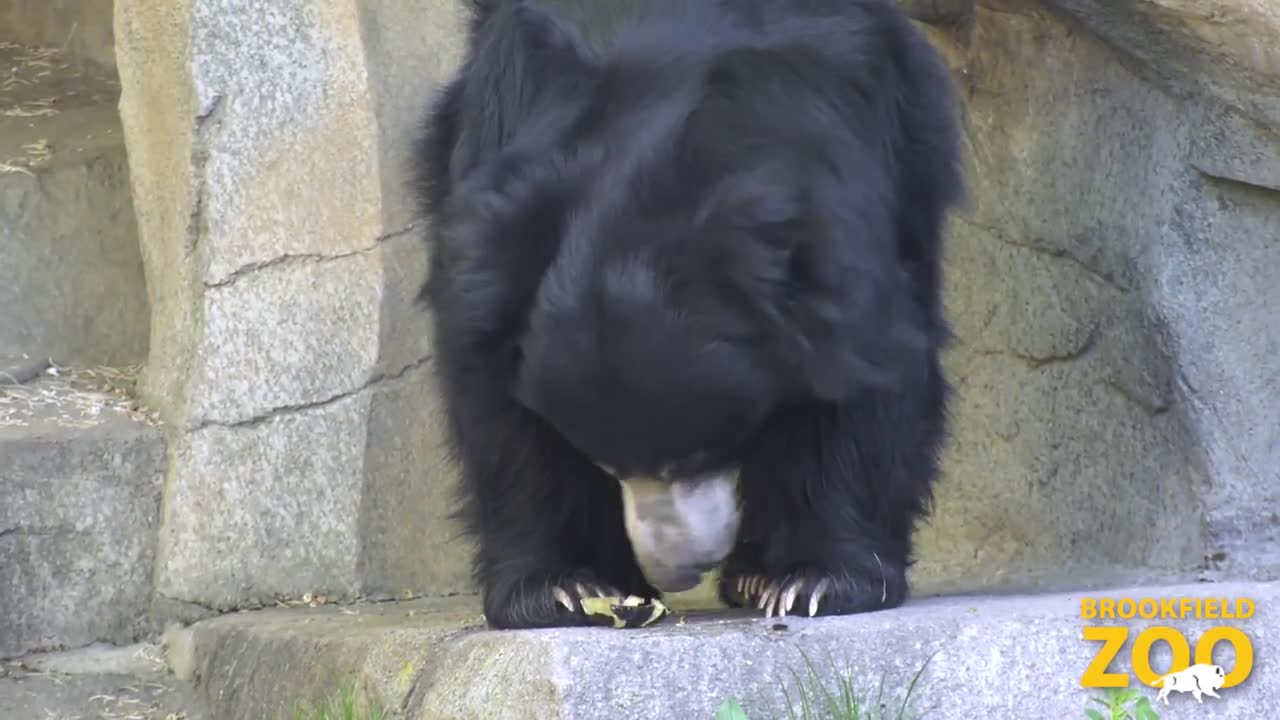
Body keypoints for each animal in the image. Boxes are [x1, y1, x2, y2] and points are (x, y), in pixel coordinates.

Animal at [414, 0, 962, 627]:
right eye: (605, 463)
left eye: (698, 454)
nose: (678, 569)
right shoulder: (496, 217)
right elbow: (497, 406)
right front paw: (563, 589)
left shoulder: (859, 174)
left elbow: (864, 377)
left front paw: (813, 581)